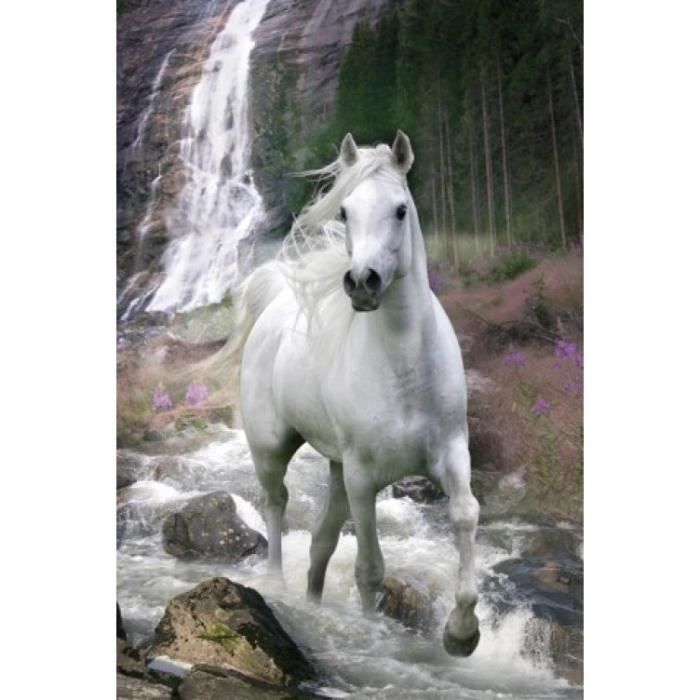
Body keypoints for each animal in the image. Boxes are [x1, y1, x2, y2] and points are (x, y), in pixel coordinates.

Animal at [230, 131, 480, 656]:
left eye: (400, 209)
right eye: (344, 212)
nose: (363, 282)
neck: (404, 368)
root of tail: (274, 303)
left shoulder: (452, 453)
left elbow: (466, 514)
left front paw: (462, 632)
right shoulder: (364, 478)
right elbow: (370, 569)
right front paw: (372, 636)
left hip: (336, 466)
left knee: (321, 542)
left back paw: (311, 600)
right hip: (271, 449)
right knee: (277, 504)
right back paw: (276, 585)